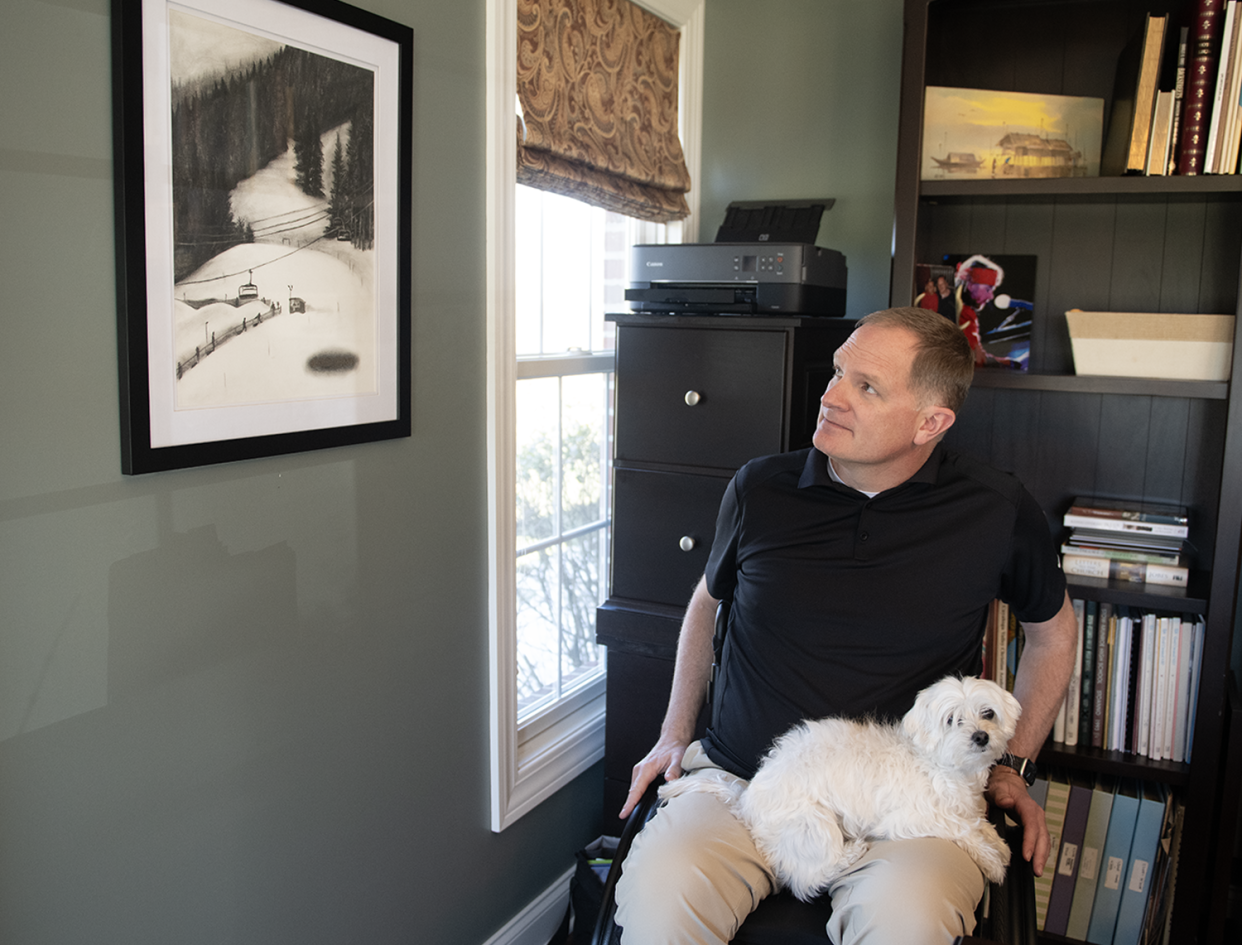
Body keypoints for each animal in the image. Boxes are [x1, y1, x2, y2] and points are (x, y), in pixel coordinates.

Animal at [660, 670, 1018, 899]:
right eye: (951, 720)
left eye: (988, 713)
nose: (981, 736)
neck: (939, 765)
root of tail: (746, 799)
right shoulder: (915, 817)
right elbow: (963, 829)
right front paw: (991, 860)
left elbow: (976, 822)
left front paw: (997, 843)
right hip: (812, 822)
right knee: (808, 879)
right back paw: (849, 853)